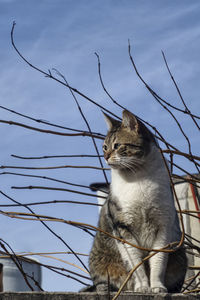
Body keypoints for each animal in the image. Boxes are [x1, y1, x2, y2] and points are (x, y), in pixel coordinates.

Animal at [88, 109, 187, 292]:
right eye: (104, 147)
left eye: (117, 146)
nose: (105, 156)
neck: (138, 178)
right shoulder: (122, 227)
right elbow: (136, 264)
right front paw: (143, 287)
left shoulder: (163, 225)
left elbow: (158, 261)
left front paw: (157, 287)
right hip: (99, 263)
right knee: (103, 283)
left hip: (180, 258)